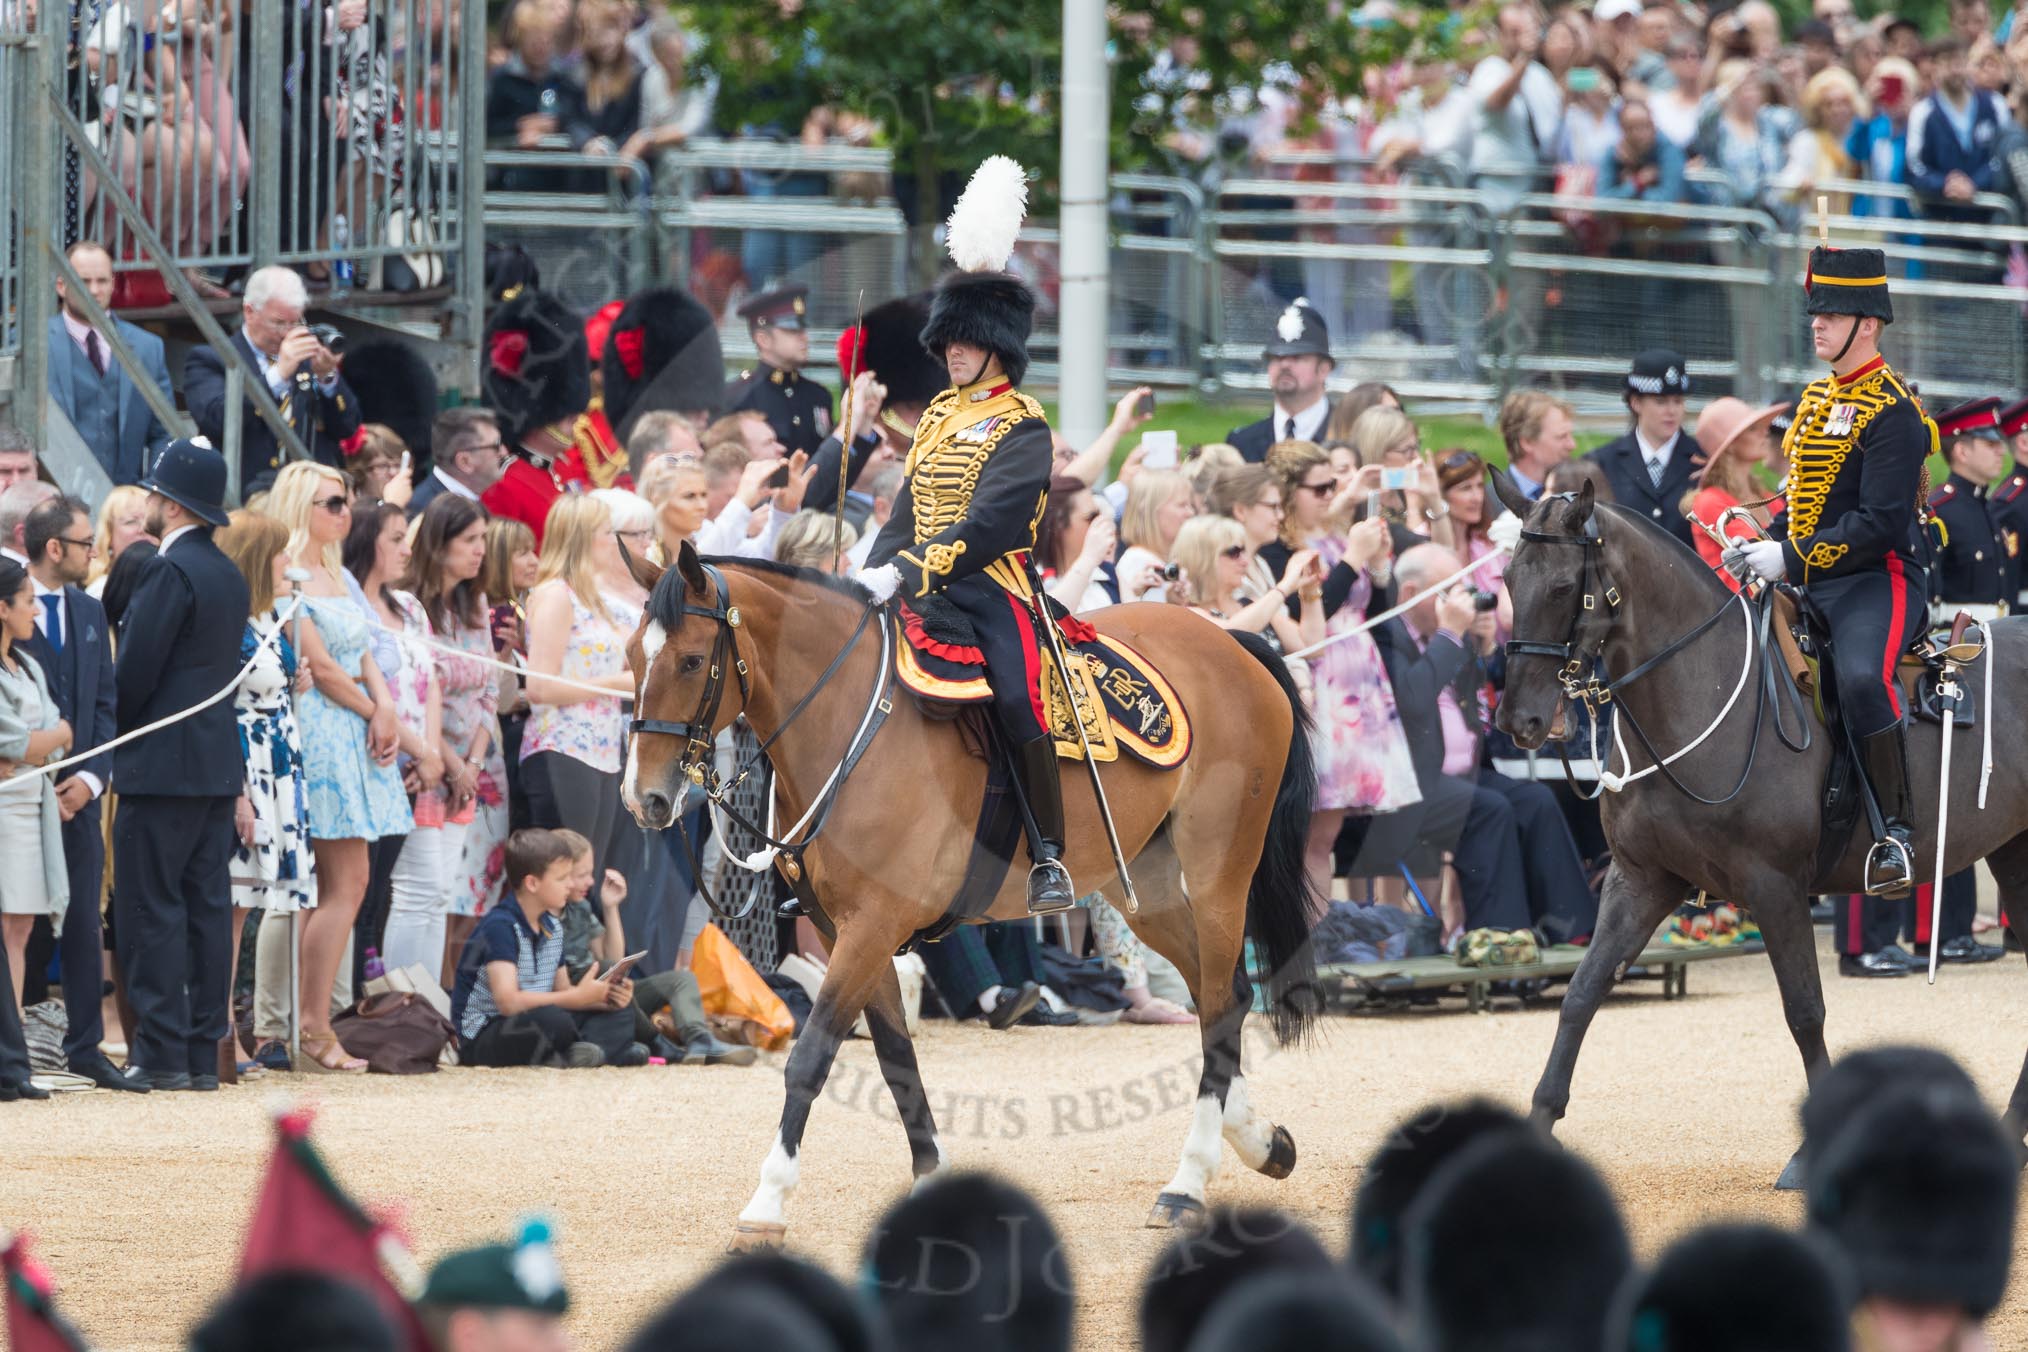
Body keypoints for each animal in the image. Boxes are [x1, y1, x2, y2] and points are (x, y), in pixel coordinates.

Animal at [616, 543, 1322, 1240]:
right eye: (630, 657)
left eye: (691, 660)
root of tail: (1230, 640)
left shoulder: (871, 926)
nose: (643, 799)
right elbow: (896, 1058)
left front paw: (766, 1204)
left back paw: (1188, 1181)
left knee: (1223, 1000)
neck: (849, 725)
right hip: (1148, 890)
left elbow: (812, 1056)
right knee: (1221, 996)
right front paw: (932, 1179)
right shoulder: (853, 931)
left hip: (1217, 876)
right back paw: (1257, 1141)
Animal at [1492, 478, 2028, 1183]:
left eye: (1560, 587)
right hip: (2016, 856)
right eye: (1506, 579)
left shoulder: (1774, 887)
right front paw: (1537, 1124)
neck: (1698, 690)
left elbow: (1804, 1010)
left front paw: (1813, 1155)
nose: (1519, 721)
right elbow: (1581, 993)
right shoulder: (1640, 881)